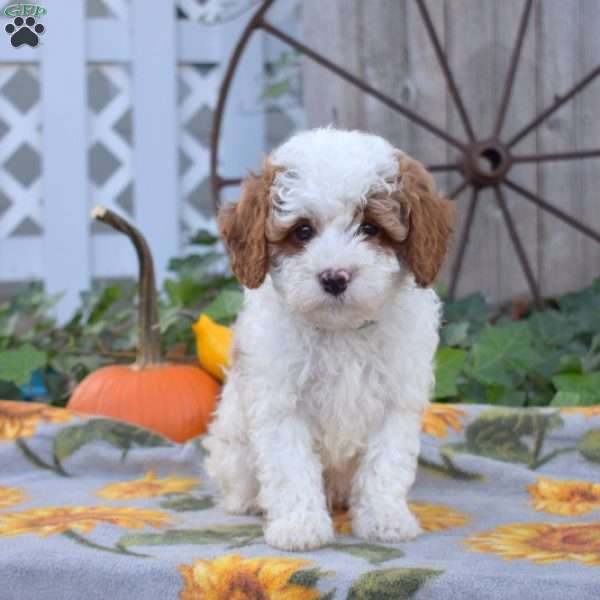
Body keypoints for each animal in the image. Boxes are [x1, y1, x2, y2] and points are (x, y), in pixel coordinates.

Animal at [204, 129, 452, 552]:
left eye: (370, 228)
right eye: (302, 231)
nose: (335, 277)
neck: (342, 331)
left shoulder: (395, 402)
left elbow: (385, 464)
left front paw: (384, 519)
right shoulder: (281, 404)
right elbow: (290, 468)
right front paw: (299, 526)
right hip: (232, 444)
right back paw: (248, 502)